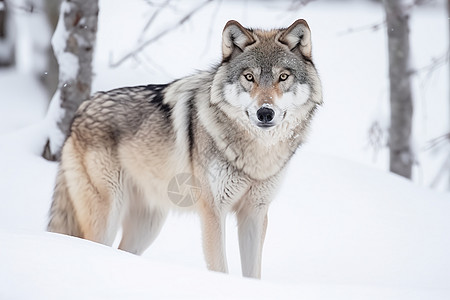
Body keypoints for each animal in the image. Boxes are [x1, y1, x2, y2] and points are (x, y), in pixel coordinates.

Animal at [47, 19, 322, 278]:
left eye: (283, 77)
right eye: (249, 77)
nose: (265, 113)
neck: (257, 155)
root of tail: (81, 110)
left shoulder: (255, 213)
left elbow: (253, 273)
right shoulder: (213, 212)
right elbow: (219, 267)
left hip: (148, 225)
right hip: (107, 217)